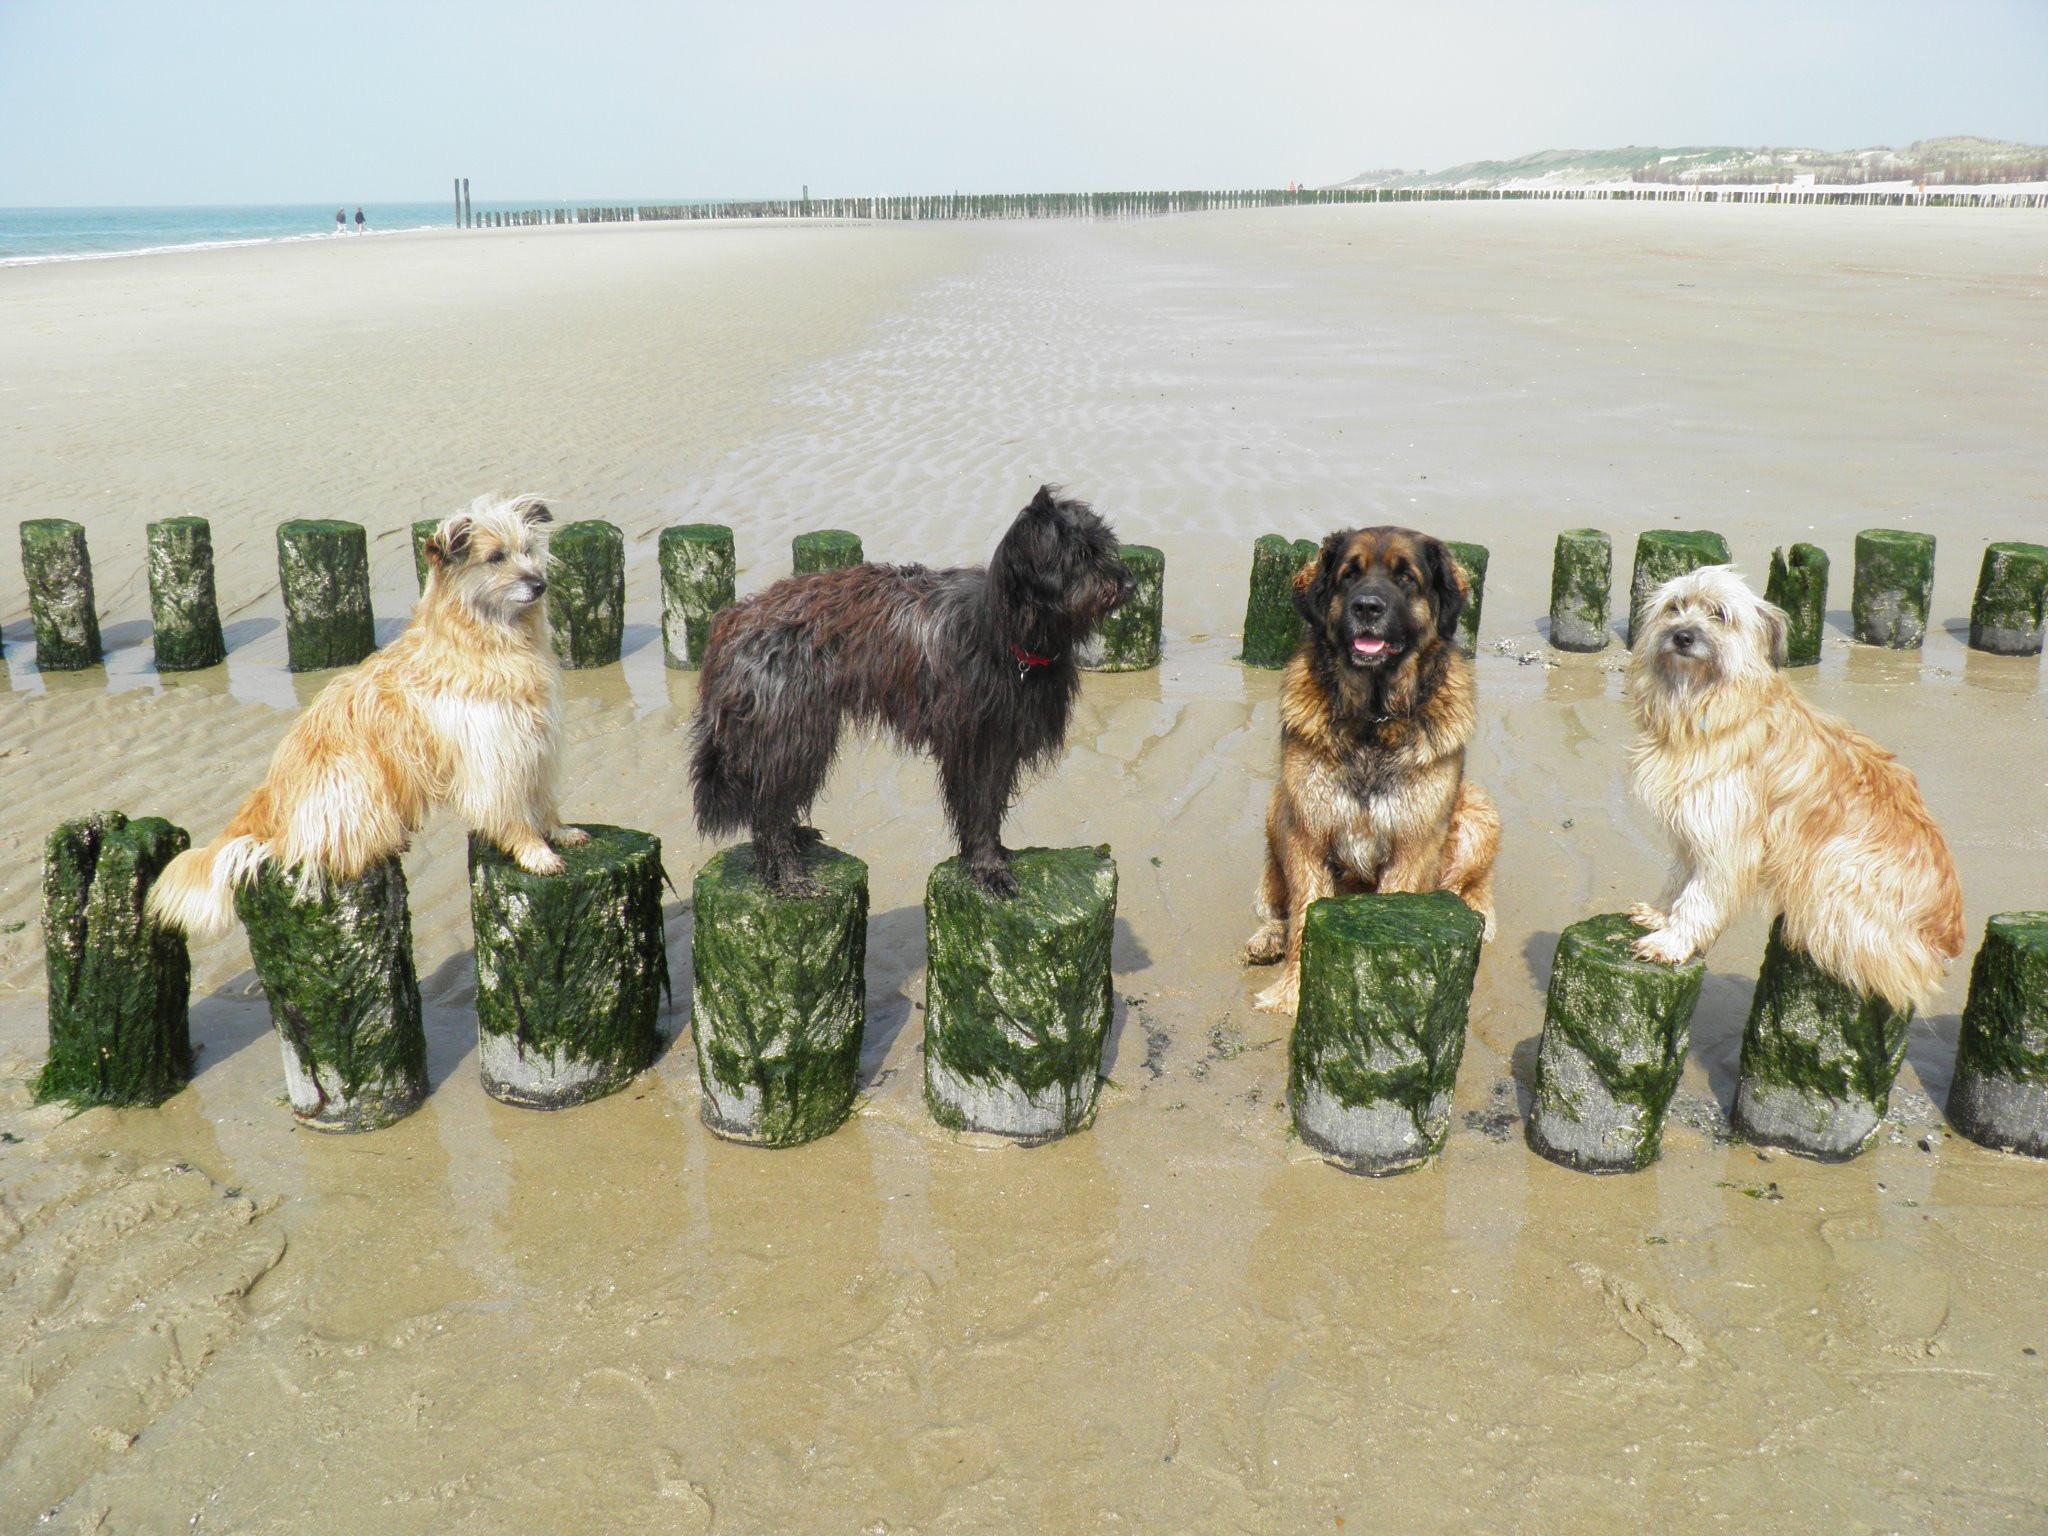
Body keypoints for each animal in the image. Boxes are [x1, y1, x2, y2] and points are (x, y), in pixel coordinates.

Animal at [149, 493, 585, 940]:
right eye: (496, 556)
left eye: (527, 550)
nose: (539, 584)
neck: (487, 638)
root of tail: (272, 795)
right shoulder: (494, 751)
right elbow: (512, 809)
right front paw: (534, 850)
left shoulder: (535, 739)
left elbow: (542, 797)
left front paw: (558, 830)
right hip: (353, 777)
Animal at [689, 485, 1130, 897]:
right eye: (1079, 554)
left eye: (1106, 545)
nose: (1127, 581)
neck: (1005, 635)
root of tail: (733, 620)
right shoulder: (974, 744)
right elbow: (979, 806)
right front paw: (988, 867)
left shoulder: (1002, 740)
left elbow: (992, 806)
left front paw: (996, 853)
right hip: (793, 731)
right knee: (769, 808)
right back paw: (787, 876)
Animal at [1243, 527, 1499, 1013]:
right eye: (1349, 575)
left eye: (1406, 578)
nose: (1367, 607)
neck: (1373, 721)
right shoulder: (1306, 831)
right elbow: (1302, 916)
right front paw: (1291, 994)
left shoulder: (1414, 842)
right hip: (1275, 806)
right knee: (1274, 903)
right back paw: (1267, 939)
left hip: (1479, 812)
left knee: (1473, 888)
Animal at [1625, 564, 1964, 1010]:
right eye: (1674, 607)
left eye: (1719, 614)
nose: (1682, 635)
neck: (1709, 705)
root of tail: (1947, 936)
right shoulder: (1694, 827)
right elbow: (1680, 876)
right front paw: (1662, 914)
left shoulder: (1728, 835)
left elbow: (1702, 895)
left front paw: (1672, 941)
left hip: (1838, 860)